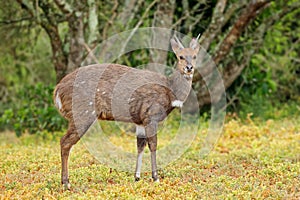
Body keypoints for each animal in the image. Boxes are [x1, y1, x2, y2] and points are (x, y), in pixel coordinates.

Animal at [54, 34, 199, 189]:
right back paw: (66, 183)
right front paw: (155, 177)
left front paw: (137, 177)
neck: (170, 92)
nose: (189, 68)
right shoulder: (151, 116)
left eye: (195, 56)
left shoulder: (139, 121)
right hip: (83, 113)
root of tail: (57, 90)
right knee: (65, 142)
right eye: (180, 56)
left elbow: (140, 145)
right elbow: (153, 145)